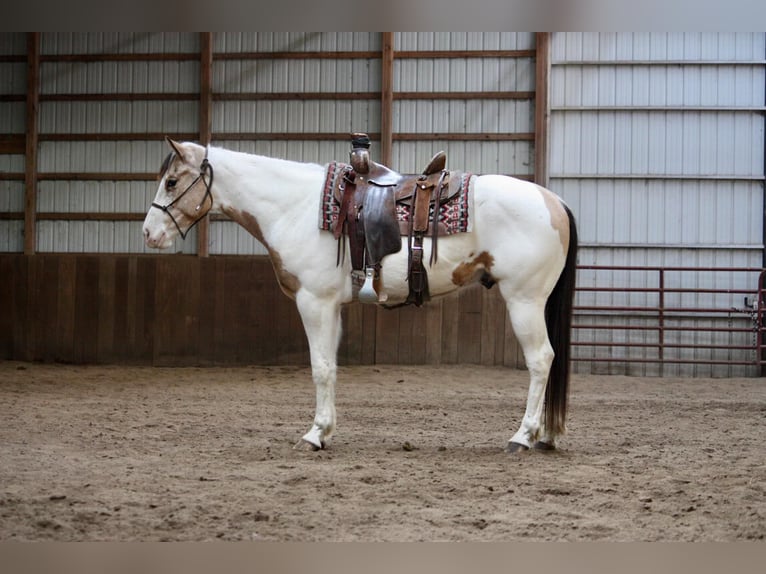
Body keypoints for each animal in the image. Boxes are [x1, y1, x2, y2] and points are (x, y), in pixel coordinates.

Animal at [142, 138, 576, 454]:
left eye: (172, 182)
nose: (148, 233)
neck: (297, 206)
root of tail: (554, 200)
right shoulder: (332, 306)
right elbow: (331, 368)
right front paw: (325, 431)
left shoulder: (314, 302)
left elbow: (320, 368)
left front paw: (314, 434)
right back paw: (547, 436)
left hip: (524, 301)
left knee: (541, 360)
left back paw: (523, 436)